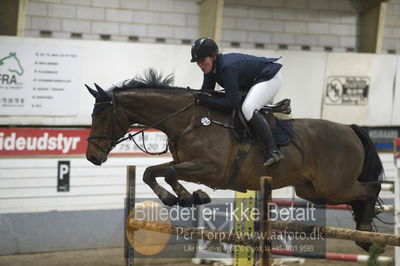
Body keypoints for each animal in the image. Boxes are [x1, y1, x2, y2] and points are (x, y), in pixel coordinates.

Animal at [86, 69, 382, 251]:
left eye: (102, 116)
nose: (91, 156)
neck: (188, 120)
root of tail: (350, 129)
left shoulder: (211, 169)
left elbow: (168, 174)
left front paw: (191, 197)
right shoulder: (188, 165)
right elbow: (152, 172)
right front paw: (182, 198)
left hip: (334, 186)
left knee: (370, 189)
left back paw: (367, 234)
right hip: (312, 190)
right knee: (357, 197)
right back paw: (365, 234)